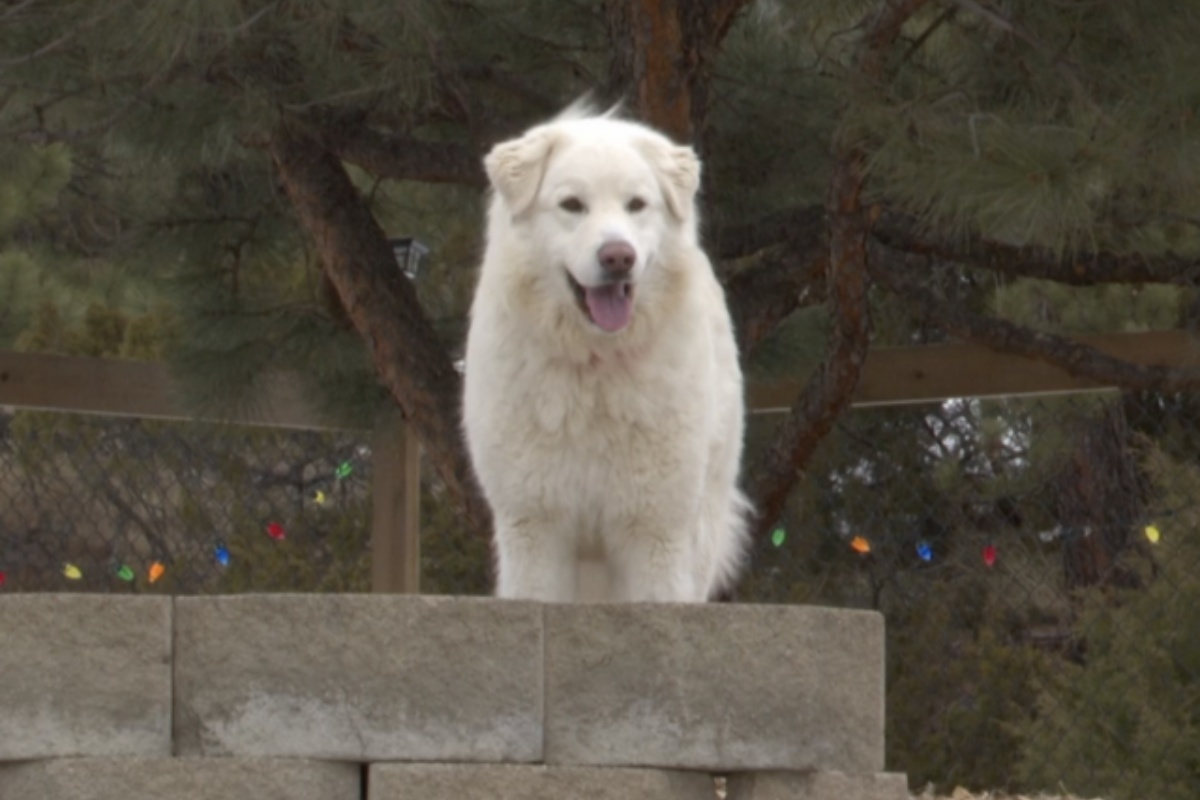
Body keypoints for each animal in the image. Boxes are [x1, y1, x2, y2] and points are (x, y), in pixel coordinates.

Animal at [460, 106, 748, 604]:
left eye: (636, 205)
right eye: (572, 205)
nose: (618, 257)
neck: (593, 367)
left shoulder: (655, 531)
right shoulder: (535, 526)